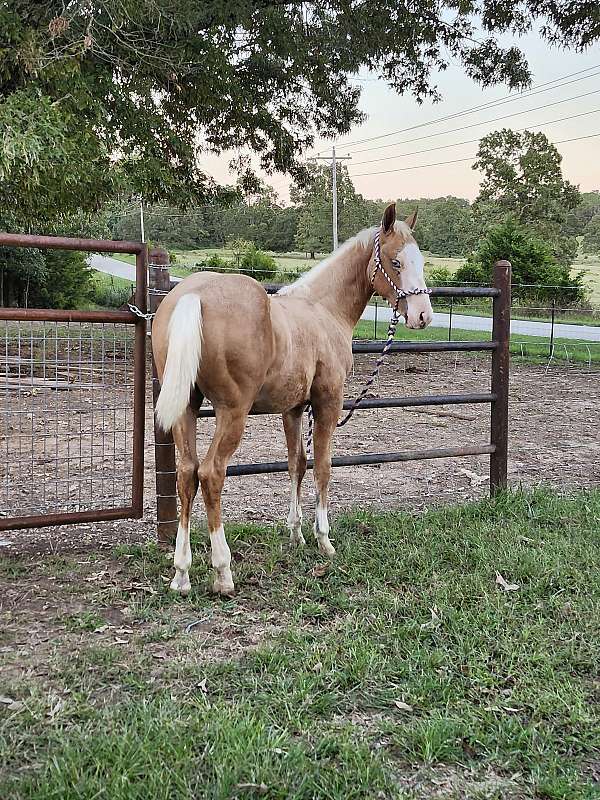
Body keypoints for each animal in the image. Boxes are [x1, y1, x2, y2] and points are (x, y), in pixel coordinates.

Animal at [150, 203, 432, 596]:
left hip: (186, 410)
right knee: (211, 473)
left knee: (187, 474)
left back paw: (181, 574)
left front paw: (296, 534)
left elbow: (296, 463)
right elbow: (324, 467)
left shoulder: (294, 408)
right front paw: (324, 540)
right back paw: (223, 572)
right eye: (395, 262)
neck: (323, 309)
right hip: (232, 413)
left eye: (419, 260)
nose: (423, 315)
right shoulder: (329, 402)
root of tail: (194, 295)